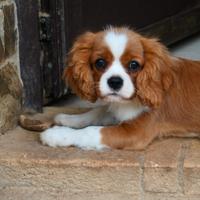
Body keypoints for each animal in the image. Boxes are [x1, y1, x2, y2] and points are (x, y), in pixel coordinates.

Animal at [40, 26, 200, 149]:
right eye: (100, 63)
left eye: (134, 65)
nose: (115, 82)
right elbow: (99, 111)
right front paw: (70, 119)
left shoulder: (135, 132)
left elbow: (91, 131)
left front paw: (58, 134)